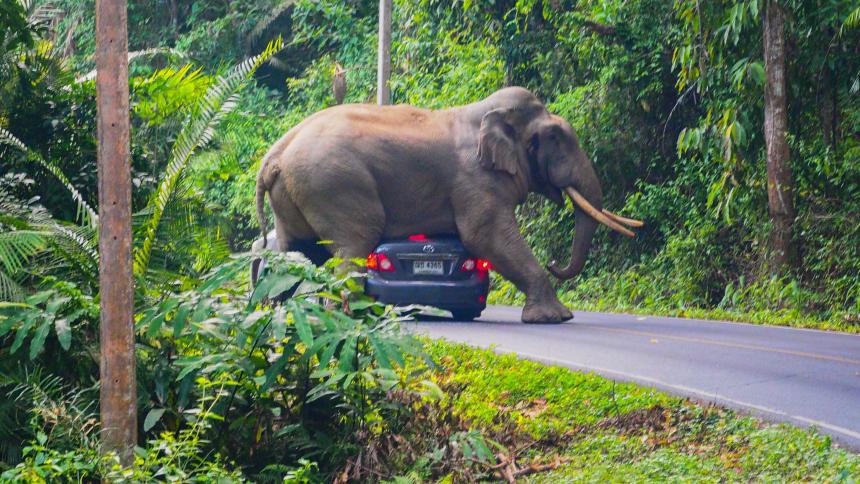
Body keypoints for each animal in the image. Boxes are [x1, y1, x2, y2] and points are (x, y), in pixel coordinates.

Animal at [255, 88, 640, 322]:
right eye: (556, 138)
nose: (555, 263)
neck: (487, 112)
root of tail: (273, 156)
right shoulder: (475, 179)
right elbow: (485, 236)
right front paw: (556, 318)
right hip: (334, 186)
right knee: (353, 245)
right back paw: (348, 316)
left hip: (295, 195)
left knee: (297, 251)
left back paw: (278, 314)